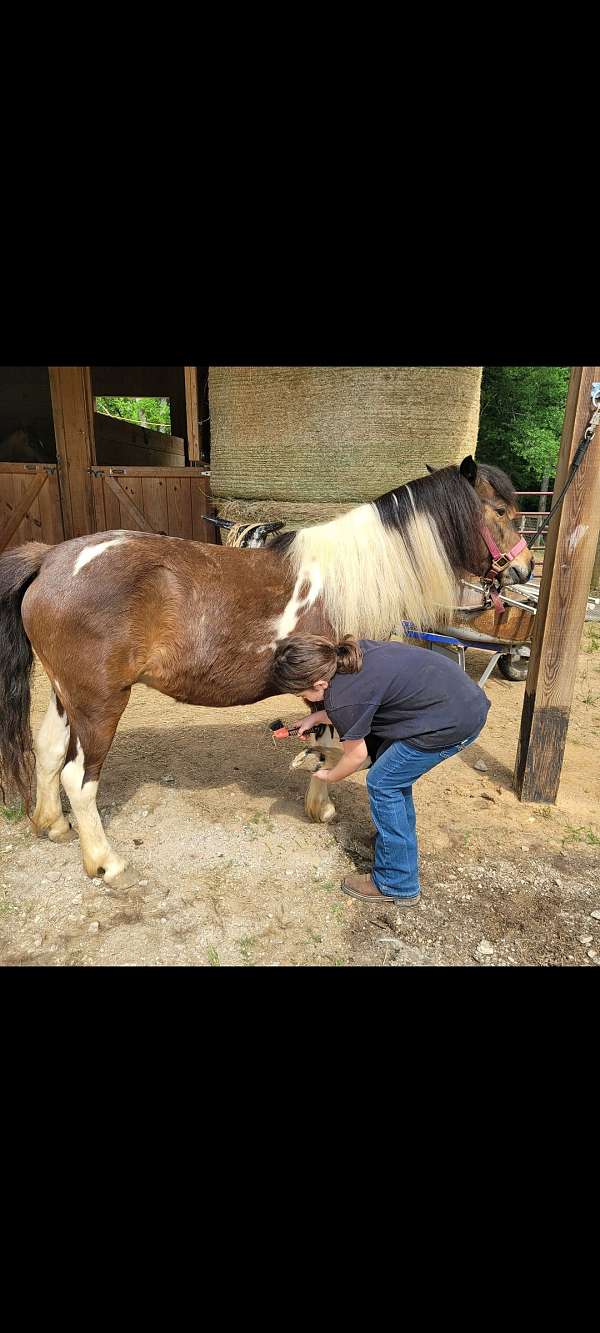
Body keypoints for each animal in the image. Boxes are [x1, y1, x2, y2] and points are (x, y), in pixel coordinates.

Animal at [0, 455, 533, 888]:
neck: (350, 577)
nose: (525, 568)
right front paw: (322, 808)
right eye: (502, 512)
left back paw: (52, 824)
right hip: (100, 703)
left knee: (48, 752)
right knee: (78, 778)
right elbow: (329, 749)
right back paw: (105, 863)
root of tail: (51, 559)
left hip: (65, 695)